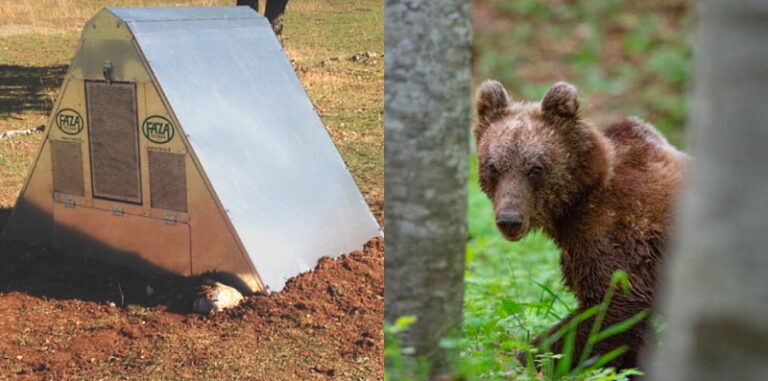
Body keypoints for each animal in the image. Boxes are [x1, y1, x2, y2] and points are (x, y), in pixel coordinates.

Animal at [474, 79, 688, 368]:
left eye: (536, 169)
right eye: (494, 167)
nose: (509, 220)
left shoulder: (616, 234)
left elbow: (613, 308)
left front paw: (524, 357)